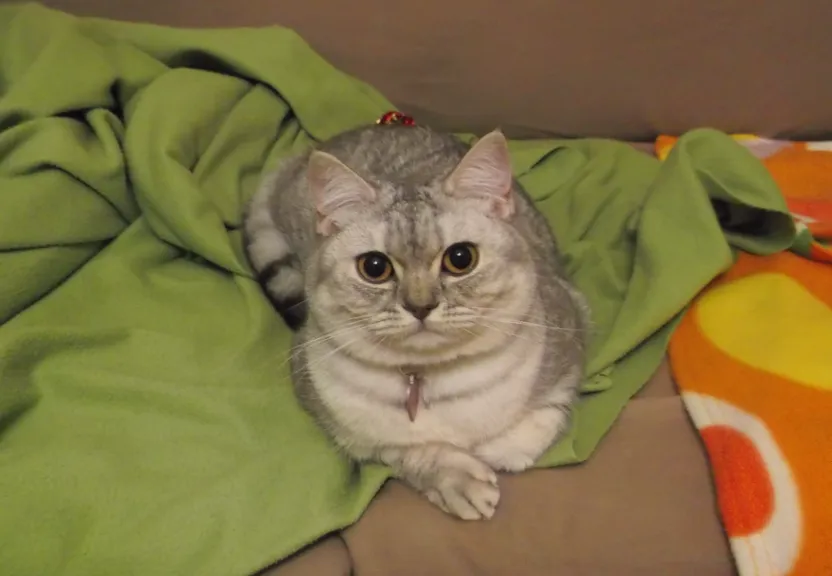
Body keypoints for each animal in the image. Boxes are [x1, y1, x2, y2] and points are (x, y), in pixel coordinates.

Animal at [244, 122, 588, 520]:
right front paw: (457, 479)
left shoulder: (571, 326)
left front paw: (498, 449)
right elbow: (405, 450)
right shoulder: (339, 419)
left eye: (461, 258)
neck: (428, 383)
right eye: (374, 267)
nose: (420, 305)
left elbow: (541, 421)